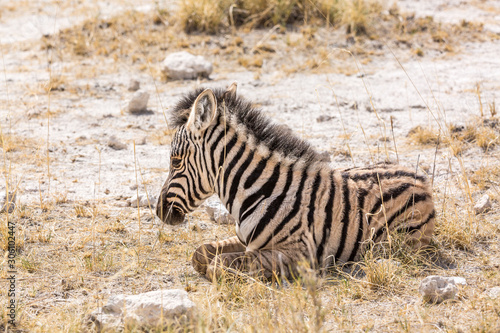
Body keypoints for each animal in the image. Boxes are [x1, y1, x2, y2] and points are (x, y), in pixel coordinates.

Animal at [156, 83, 434, 280]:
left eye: (175, 161)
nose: (159, 211)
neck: (259, 191)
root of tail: (419, 177)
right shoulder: (244, 240)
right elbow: (200, 253)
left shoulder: (298, 254)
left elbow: (220, 265)